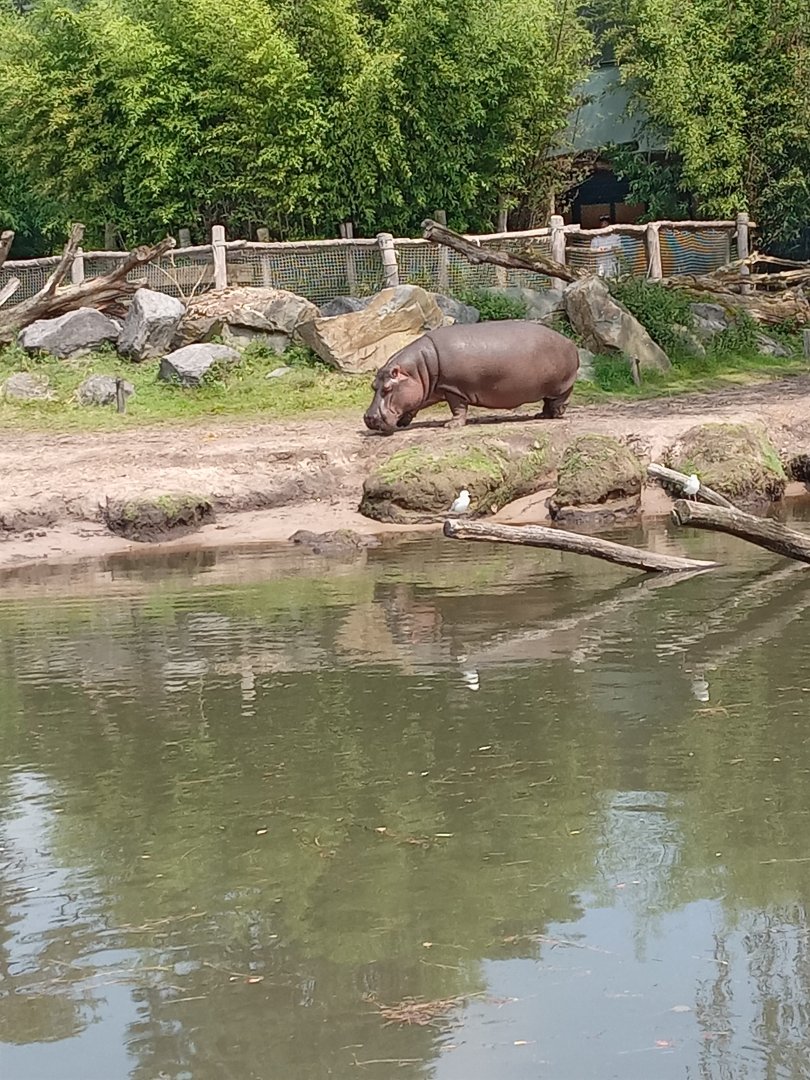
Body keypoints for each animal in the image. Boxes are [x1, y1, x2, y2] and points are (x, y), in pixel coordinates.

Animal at [363, 320, 579, 435]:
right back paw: (541, 416)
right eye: (373, 386)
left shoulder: (452, 387)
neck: (418, 369)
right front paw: (404, 421)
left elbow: (457, 408)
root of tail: (570, 342)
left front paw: (450, 425)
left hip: (562, 386)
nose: (368, 418)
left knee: (560, 400)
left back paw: (555, 415)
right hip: (549, 388)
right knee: (547, 402)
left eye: (387, 388)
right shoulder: (425, 390)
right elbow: (414, 405)